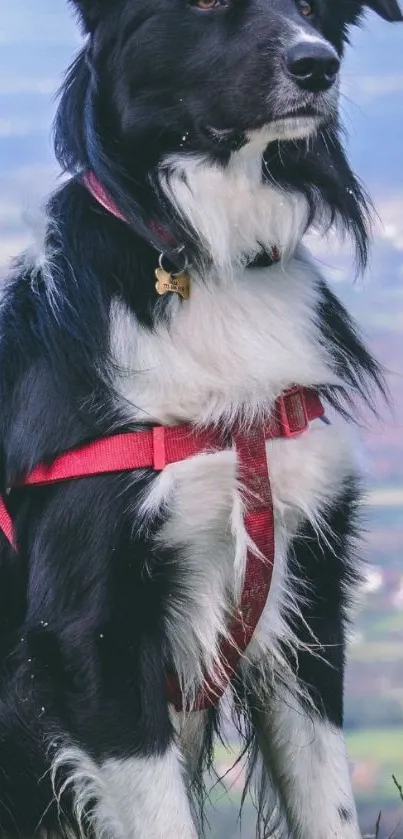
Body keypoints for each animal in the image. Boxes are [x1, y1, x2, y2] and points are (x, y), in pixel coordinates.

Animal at [0, 0, 403, 836]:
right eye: (207, 6)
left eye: (314, 10)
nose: (318, 66)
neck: (211, 262)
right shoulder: (91, 636)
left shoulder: (306, 597)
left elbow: (328, 807)